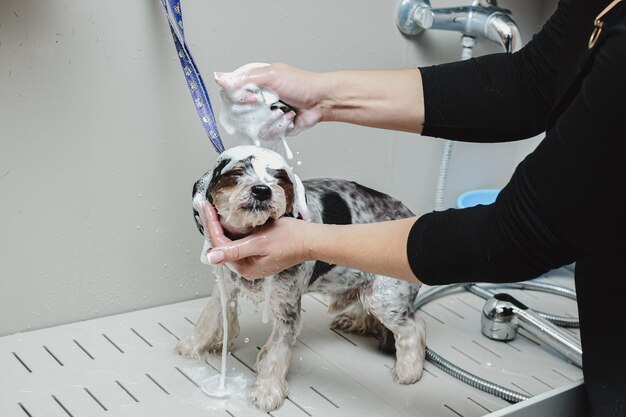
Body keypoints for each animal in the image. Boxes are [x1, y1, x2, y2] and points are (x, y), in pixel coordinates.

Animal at [176, 145, 424, 412]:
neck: (247, 236)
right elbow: (210, 317)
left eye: (279, 178)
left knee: (415, 327)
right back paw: (353, 321)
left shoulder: (288, 312)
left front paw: (267, 391)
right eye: (236, 172)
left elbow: (276, 354)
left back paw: (409, 370)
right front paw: (193, 345)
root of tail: (411, 215)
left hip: (386, 298)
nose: (262, 190)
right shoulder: (226, 283)